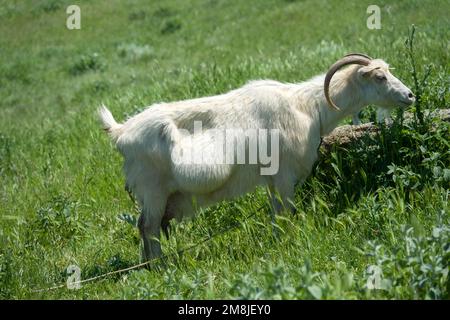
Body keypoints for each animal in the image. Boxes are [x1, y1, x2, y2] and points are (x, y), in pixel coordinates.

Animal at [98, 53, 414, 262]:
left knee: (145, 228)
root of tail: (121, 131)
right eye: (380, 76)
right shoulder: (285, 175)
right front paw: (291, 242)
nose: (410, 95)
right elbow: (287, 212)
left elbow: (276, 213)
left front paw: (278, 241)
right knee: (148, 227)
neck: (306, 107)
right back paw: (160, 266)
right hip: (153, 191)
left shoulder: (272, 179)